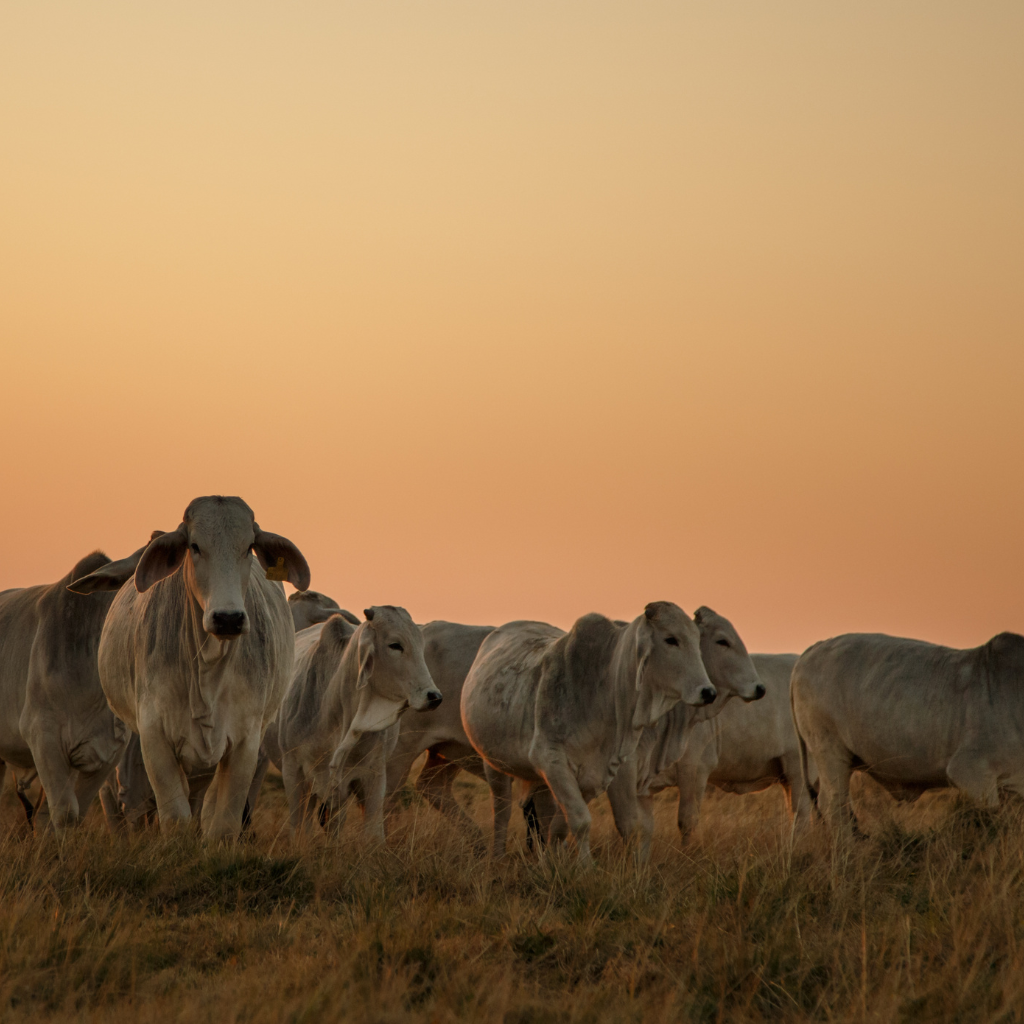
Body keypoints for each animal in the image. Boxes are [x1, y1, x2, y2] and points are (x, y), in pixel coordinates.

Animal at [74, 495, 305, 839]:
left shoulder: (245, 741)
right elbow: (175, 817)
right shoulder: (154, 736)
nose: (228, 618)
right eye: (194, 546)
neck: (208, 672)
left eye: (248, 547)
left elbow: (222, 823)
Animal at [278, 606, 442, 839]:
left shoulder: (373, 775)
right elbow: (298, 830)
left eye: (421, 644)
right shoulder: (292, 770)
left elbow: (373, 835)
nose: (434, 697)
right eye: (395, 645)